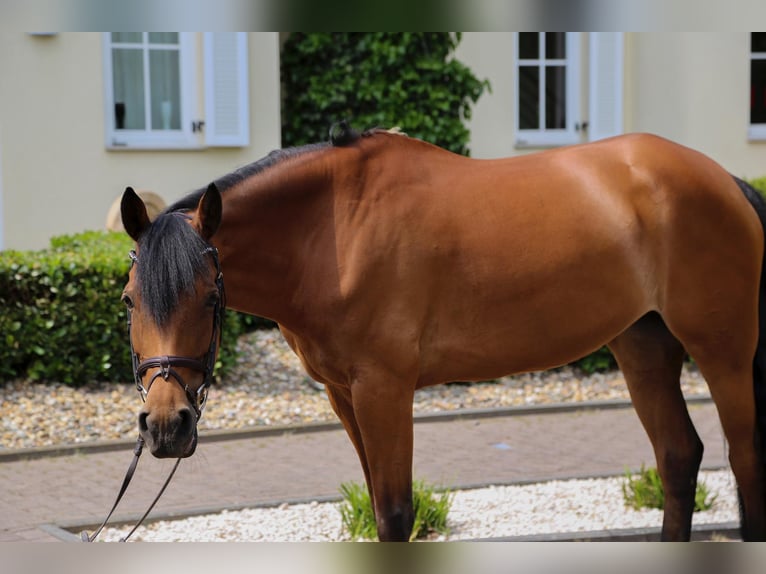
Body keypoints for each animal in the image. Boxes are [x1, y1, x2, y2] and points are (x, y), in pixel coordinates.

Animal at [118, 127, 766, 544]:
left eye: (210, 297)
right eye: (127, 301)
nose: (167, 425)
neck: (333, 231)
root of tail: (727, 179)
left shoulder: (384, 389)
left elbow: (395, 515)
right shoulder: (344, 394)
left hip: (724, 352)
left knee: (744, 459)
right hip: (643, 347)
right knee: (679, 458)